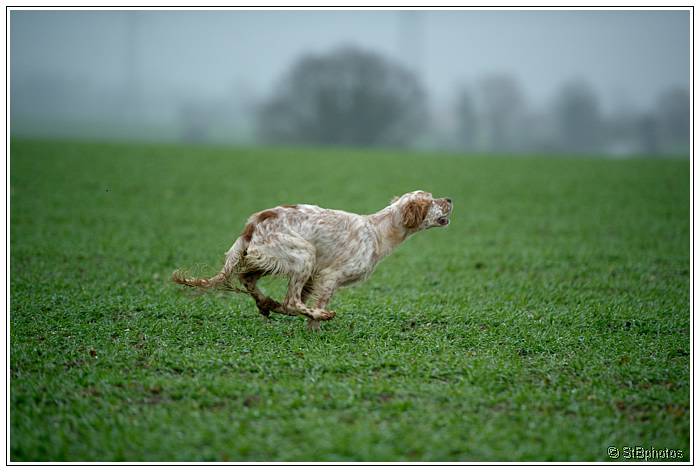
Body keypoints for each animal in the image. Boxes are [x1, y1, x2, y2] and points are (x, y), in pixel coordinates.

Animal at [172, 190, 452, 330]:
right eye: (432, 200)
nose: (450, 199)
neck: (378, 231)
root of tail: (253, 223)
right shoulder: (330, 276)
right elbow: (310, 304)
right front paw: (315, 326)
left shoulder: (314, 277)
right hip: (304, 253)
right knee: (290, 300)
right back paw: (319, 314)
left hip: (271, 259)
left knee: (248, 279)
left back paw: (266, 304)